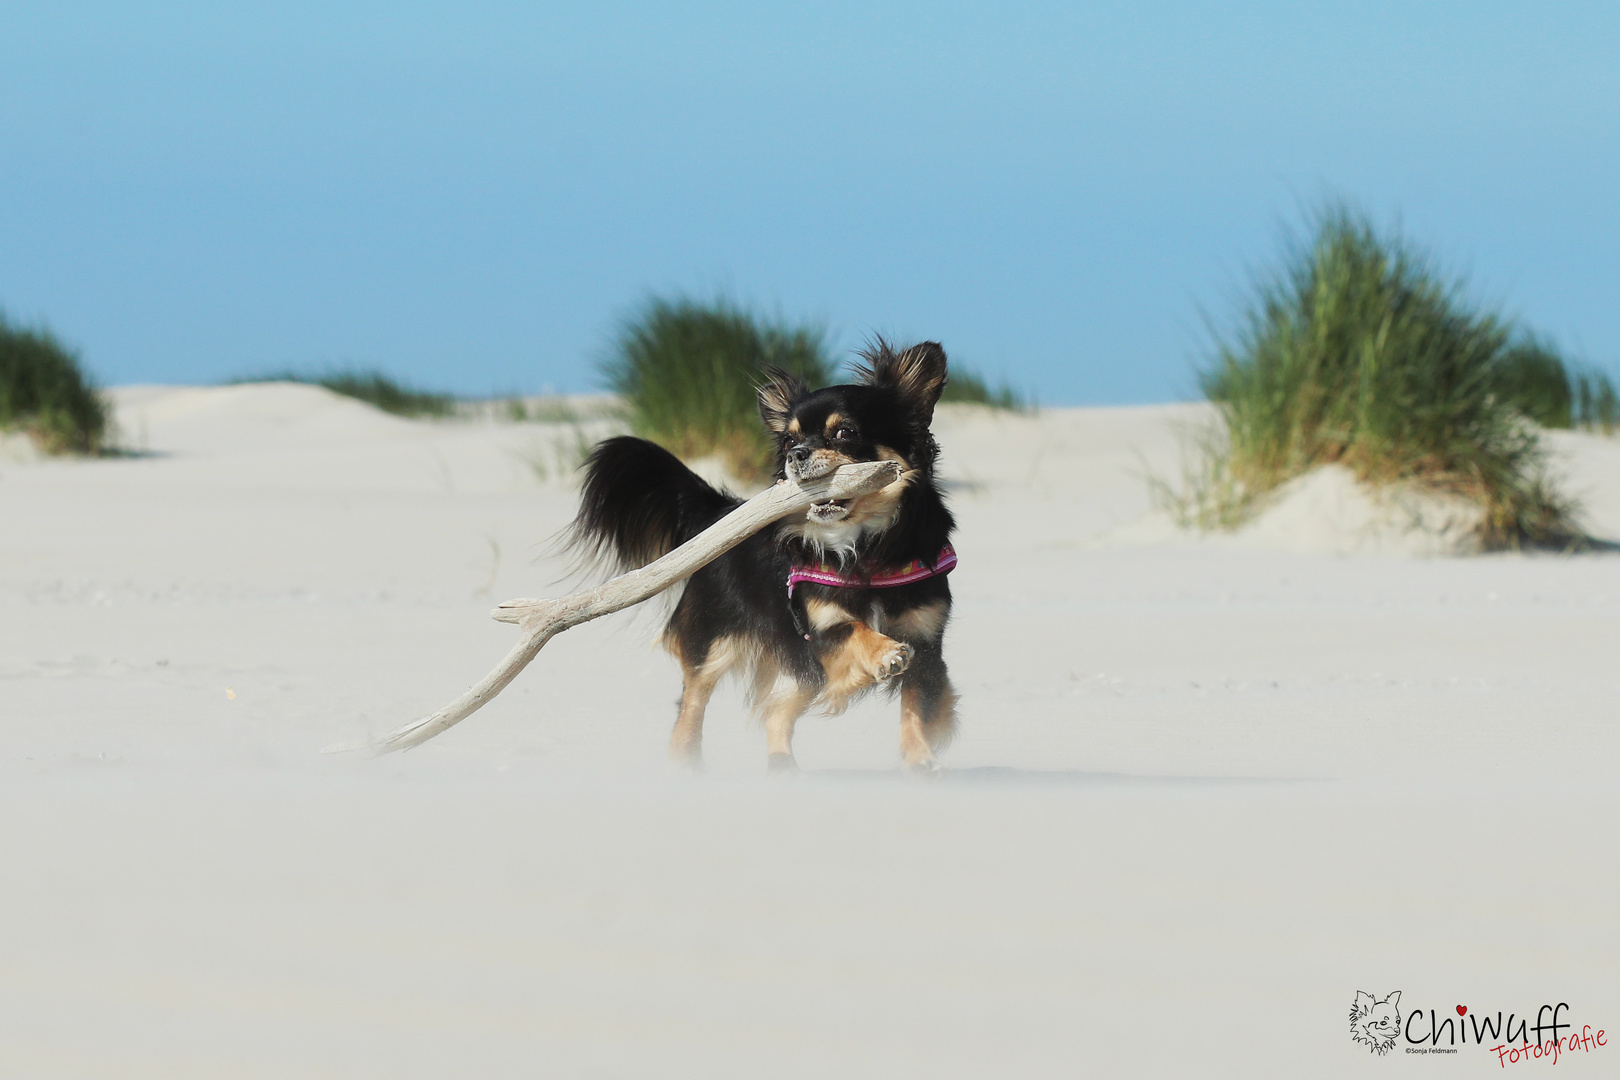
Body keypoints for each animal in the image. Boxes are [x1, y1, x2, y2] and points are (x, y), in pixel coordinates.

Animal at [567, 341, 952, 773]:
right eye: (787, 442)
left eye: (845, 433)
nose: (796, 454)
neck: (865, 546)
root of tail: (721, 511)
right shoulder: (819, 632)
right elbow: (855, 630)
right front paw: (886, 653)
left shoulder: (926, 641)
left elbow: (918, 703)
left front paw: (921, 754)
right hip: (717, 641)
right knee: (693, 701)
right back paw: (686, 764)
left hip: (797, 668)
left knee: (775, 711)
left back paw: (782, 766)